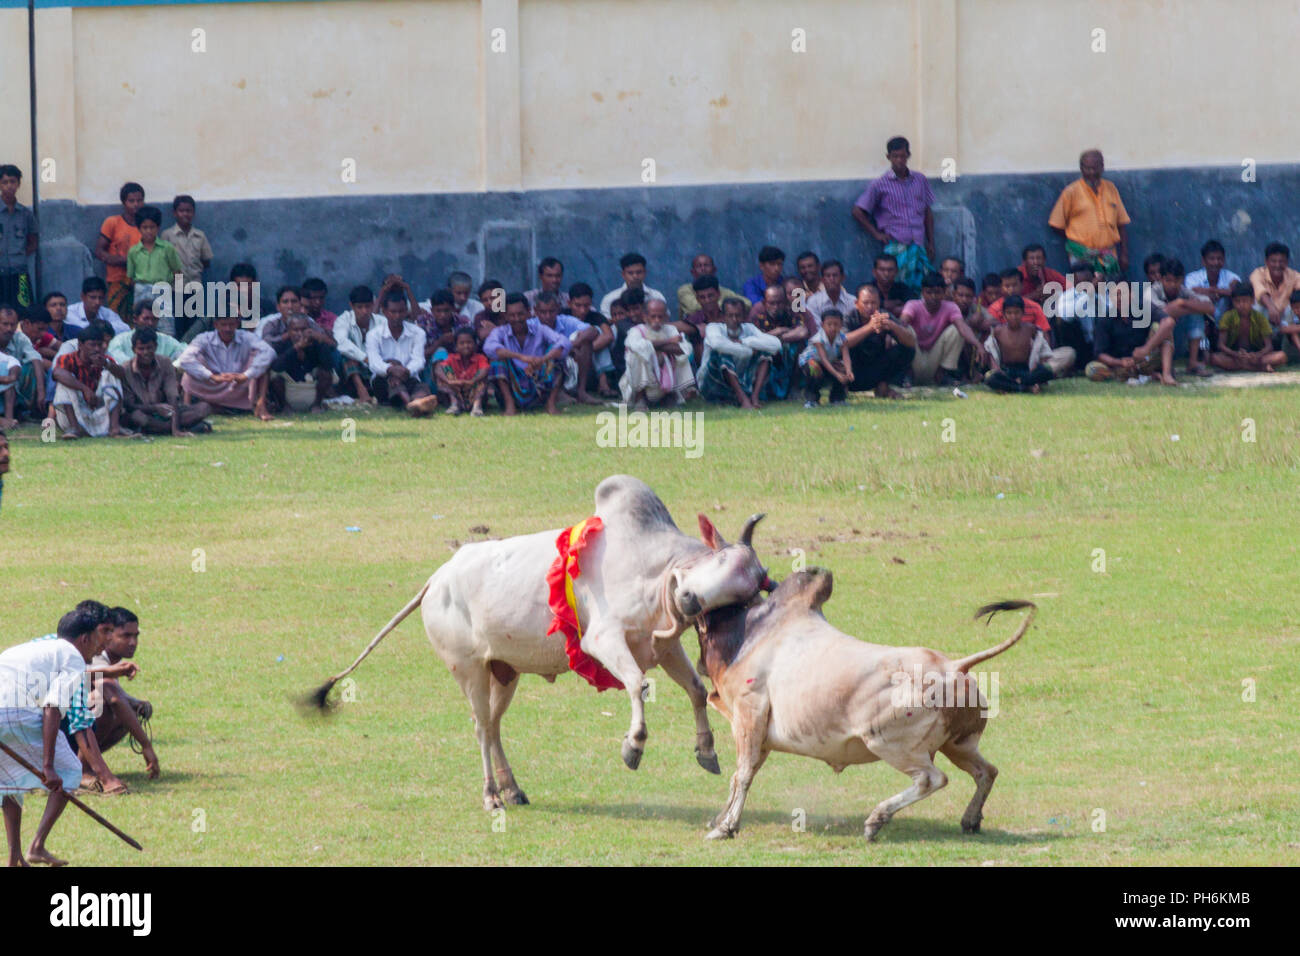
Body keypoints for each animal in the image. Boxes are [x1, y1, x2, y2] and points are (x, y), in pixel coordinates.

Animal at [308, 476, 764, 811]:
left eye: (745, 597)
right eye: (723, 560)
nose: (689, 600)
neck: (653, 566)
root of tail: (437, 579)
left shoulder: (664, 647)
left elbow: (696, 689)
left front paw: (706, 751)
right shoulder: (603, 640)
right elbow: (638, 684)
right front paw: (633, 745)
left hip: (503, 673)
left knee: (493, 726)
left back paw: (512, 788)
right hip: (468, 671)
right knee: (480, 726)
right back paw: (491, 795)